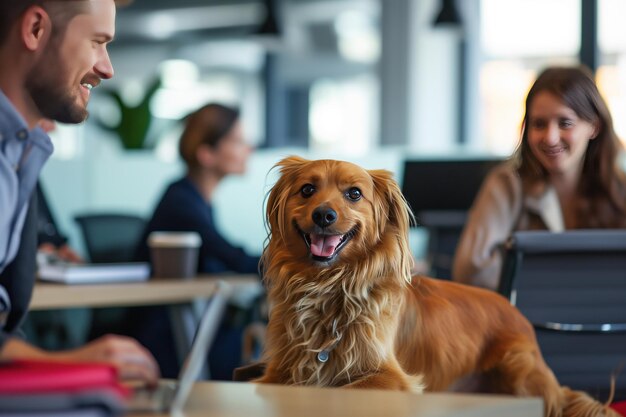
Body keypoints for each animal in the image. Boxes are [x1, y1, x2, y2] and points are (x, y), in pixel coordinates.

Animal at [256, 156, 616, 416]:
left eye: (354, 194)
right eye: (307, 190)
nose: (323, 215)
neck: (329, 287)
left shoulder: (392, 378)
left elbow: (340, 390)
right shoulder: (278, 372)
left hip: (518, 367)